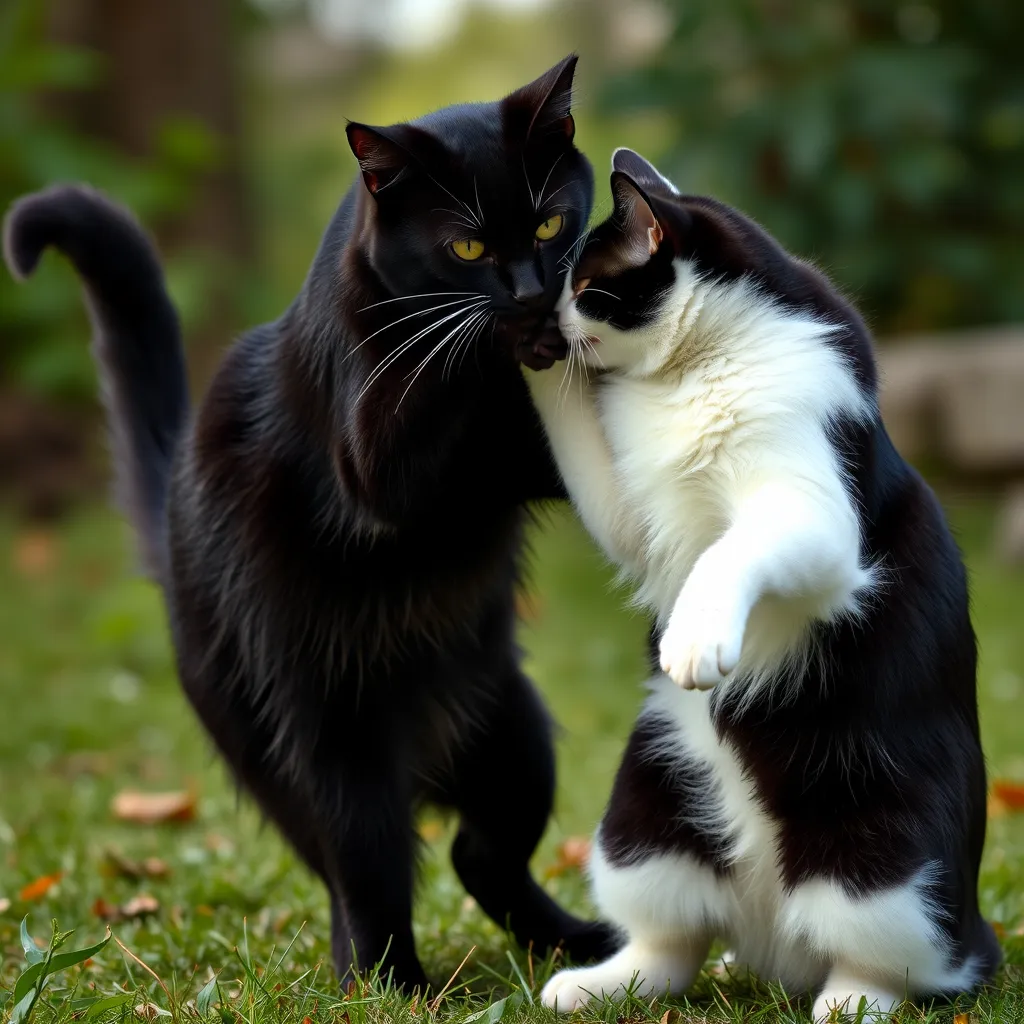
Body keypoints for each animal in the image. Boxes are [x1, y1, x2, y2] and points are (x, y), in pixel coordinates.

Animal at [2, 56, 614, 991]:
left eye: (551, 221)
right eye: (467, 247)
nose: (532, 290)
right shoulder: (373, 452)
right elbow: (443, 405)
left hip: (514, 732)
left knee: (479, 853)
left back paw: (577, 944)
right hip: (322, 754)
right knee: (361, 874)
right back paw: (388, 982)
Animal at [524, 148, 995, 1019]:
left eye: (586, 285)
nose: (543, 317)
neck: (693, 368)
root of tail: (774, 939)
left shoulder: (811, 508)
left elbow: (734, 549)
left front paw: (694, 639)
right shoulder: (639, 522)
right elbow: (591, 461)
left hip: (877, 852)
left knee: (894, 958)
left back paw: (852, 1002)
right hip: (645, 813)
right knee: (672, 940)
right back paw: (601, 983)